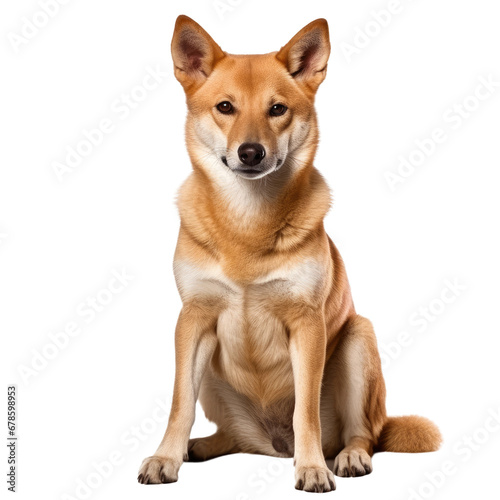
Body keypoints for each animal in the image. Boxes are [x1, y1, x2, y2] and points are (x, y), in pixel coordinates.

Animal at [137, 14, 442, 492]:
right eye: (225, 107)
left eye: (277, 109)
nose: (250, 152)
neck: (249, 221)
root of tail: (272, 443)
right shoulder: (193, 320)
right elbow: (179, 403)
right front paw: (166, 457)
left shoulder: (307, 323)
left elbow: (305, 411)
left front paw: (312, 466)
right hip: (216, 380)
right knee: (233, 435)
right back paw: (199, 447)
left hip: (358, 340)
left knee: (363, 432)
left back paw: (348, 456)